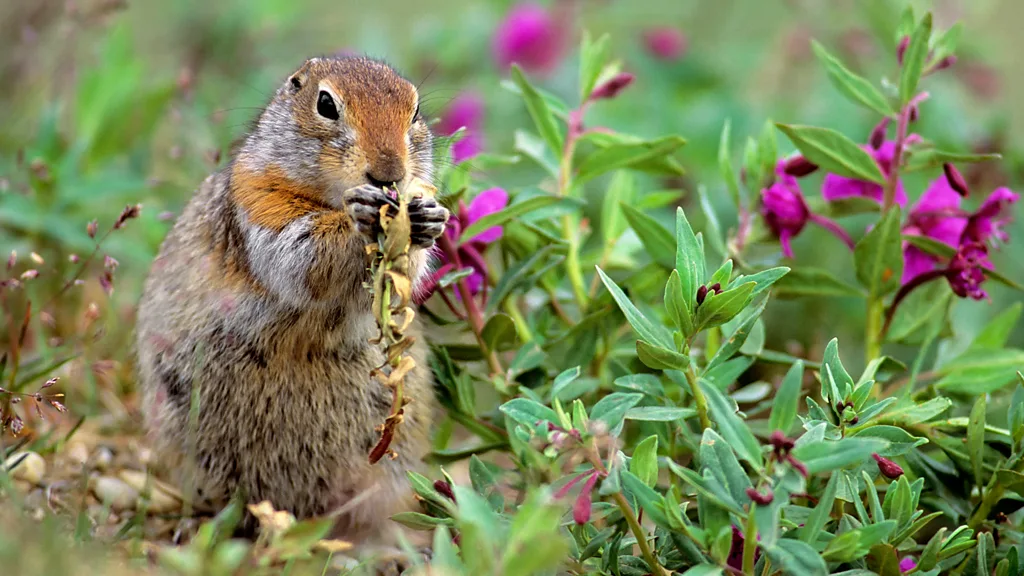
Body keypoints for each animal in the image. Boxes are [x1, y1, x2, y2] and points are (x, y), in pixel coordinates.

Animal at [134, 55, 449, 543]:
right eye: (326, 105)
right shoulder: (260, 204)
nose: (389, 174)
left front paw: (428, 217)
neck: (328, 196)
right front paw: (360, 216)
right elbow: (304, 254)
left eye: (415, 111)